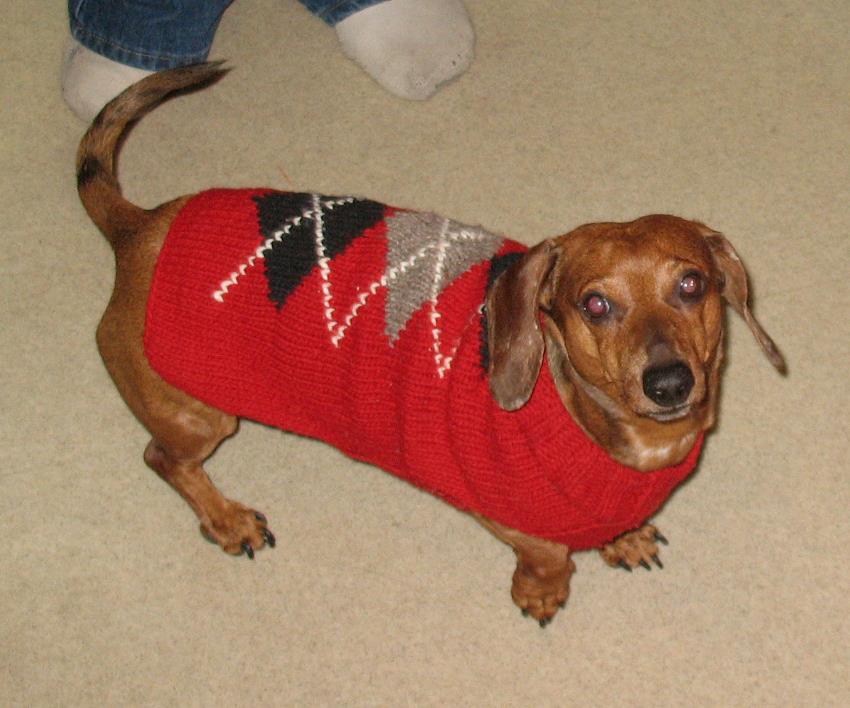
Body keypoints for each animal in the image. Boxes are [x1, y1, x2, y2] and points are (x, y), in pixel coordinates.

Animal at [78, 65, 780, 624]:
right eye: (595, 304)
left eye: (692, 284)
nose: (670, 383)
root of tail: (141, 229)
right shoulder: (512, 521)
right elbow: (547, 558)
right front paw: (542, 590)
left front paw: (622, 538)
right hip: (199, 415)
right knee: (164, 459)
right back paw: (225, 517)